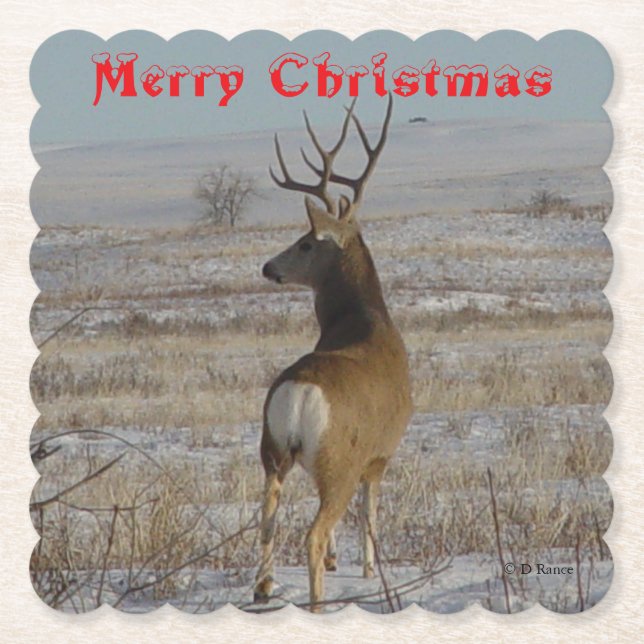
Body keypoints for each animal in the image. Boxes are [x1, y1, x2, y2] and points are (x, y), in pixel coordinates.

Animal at [254, 94, 412, 612]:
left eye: (305, 243)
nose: (269, 267)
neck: (364, 321)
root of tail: (299, 393)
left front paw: (340, 562)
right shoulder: (379, 454)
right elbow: (371, 512)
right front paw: (367, 568)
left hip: (272, 450)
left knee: (268, 516)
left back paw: (264, 587)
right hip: (337, 460)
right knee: (313, 531)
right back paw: (317, 602)